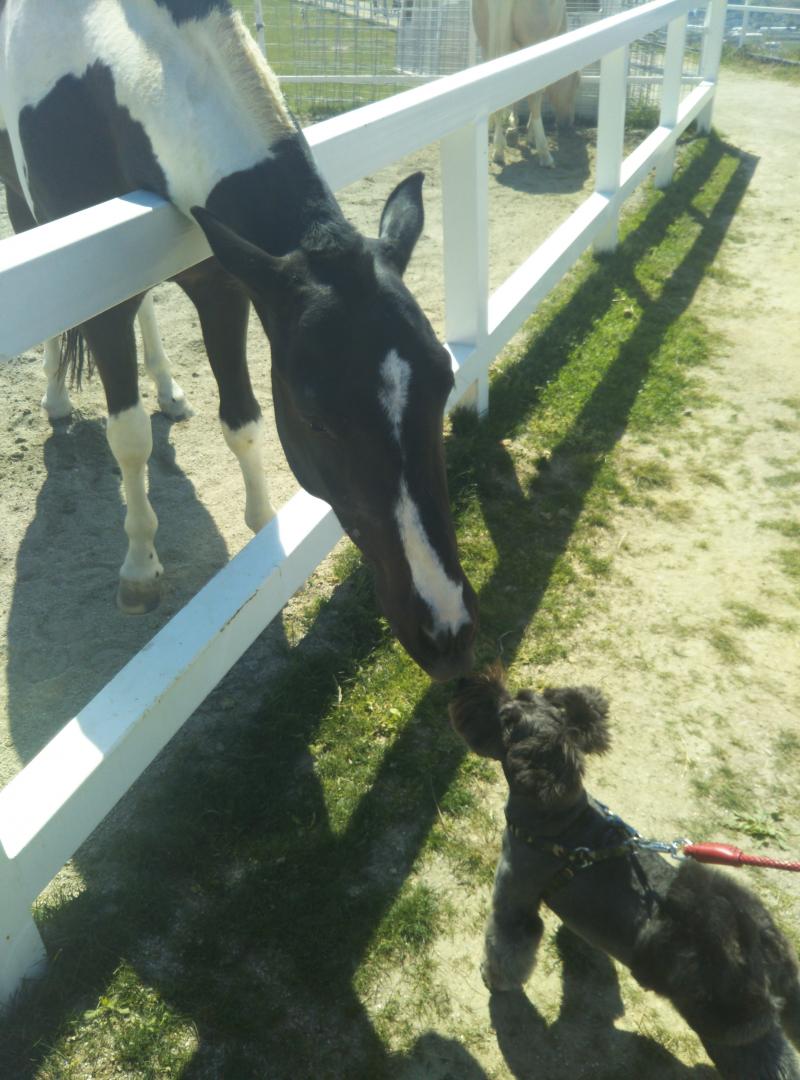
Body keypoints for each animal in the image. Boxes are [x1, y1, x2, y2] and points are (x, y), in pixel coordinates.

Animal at [0, 0, 475, 678]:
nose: (449, 630)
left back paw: (168, 388)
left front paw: (262, 525)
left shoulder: (223, 283)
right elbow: (130, 436)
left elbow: (243, 420)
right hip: (25, 208)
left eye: (444, 380)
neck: (117, 80)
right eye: (317, 418)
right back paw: (58, 396)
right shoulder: (108, 298)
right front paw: (140, 566)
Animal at [449, 669, 798, 1075]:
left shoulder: (514, 904)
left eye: (506, 718)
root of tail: (764, 950)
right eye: (522, 695)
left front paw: (494, 979)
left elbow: (505, 949)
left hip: (734, 1039)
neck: (560, 824)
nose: (464, 681)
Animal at [470, 0, 578, 166]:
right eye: (576, 84)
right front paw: (529, 136)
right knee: (534, 96)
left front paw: (513, 126)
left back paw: (498, 149)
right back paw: (544, 154)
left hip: (486, 46)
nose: (568, 122)